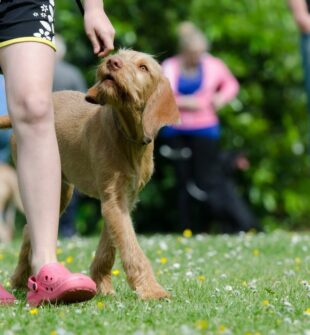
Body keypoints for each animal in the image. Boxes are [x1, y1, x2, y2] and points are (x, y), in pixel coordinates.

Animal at [0, 50, 179, 302]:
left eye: (143, 67)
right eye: (119, 54)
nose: (112, 62)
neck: (128, 137)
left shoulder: (122, 200)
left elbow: (109, 246)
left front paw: (102, 285)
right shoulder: (114, 200)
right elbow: (131, 247)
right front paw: (152, 290)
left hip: (61, 191)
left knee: (27, 229)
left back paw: (19, 280)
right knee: (28, 228)